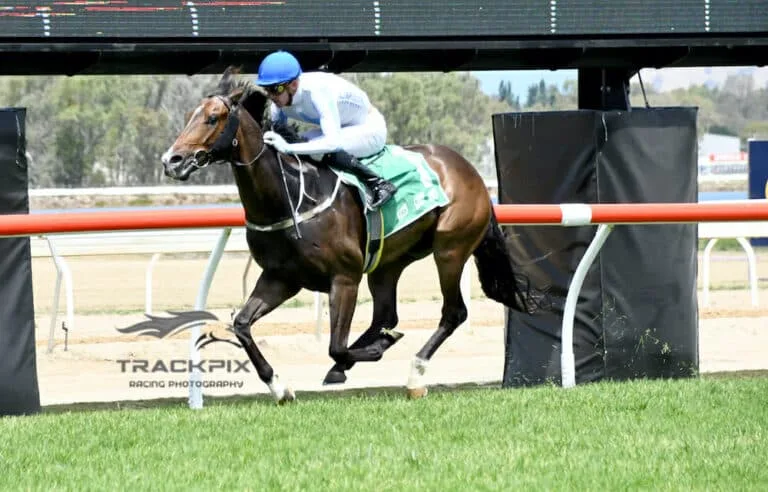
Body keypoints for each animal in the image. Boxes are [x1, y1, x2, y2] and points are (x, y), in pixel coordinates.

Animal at [161, 66, 537, 403]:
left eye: (213, 118)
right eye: (189, 115)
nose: (171, 160)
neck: (291, 195)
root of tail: (468, 170)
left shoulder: (344, 278)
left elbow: (336, 346)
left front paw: (375, 350)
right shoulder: (280, 278)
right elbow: (241, 324)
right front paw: (280, 387)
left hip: (451, 249)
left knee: (453, 312)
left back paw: (414, 373)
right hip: (388, 262)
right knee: (387, 315)